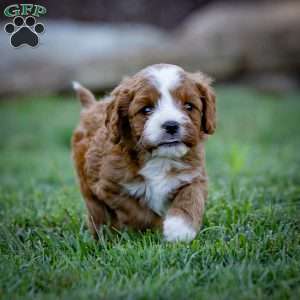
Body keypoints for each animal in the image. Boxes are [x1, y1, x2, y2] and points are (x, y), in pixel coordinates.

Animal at [72, 63, 217, 241]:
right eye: (146, 109)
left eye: (189, 106)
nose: (171, 125)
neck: (160, 158)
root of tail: (92, 107)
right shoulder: (111, 188)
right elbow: (140, 214)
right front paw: (160, 227)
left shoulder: (193, 175)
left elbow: (192, 196)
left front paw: (180, 228)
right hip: (87, 187)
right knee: (98, 215)